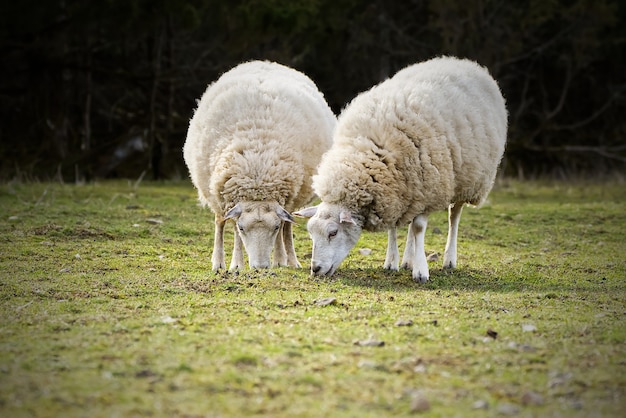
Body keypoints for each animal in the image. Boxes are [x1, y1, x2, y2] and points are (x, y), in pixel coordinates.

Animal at [182, 61, 334, 272]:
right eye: (243, 228)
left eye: (274, 227)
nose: (260, 267)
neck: (257, 174)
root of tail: (265, 63)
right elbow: (234, 231)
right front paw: (237, 264)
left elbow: (282, 229)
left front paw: (279, 259)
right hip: (214, 193)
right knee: (219, 222)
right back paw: (218, 262)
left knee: (288, 227)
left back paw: (291, 260)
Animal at [294, 55, 508, 282]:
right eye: (310, 232)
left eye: (333, 233)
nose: (315, 269)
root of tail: (463, 62)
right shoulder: (395, 193)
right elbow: (396, 228)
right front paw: (392, 262)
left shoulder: (427, 190)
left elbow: (419, 227)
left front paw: (421, 271)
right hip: (414, 191)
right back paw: (407, 260)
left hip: (467, 179)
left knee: (453, 216)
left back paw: (448, 259)